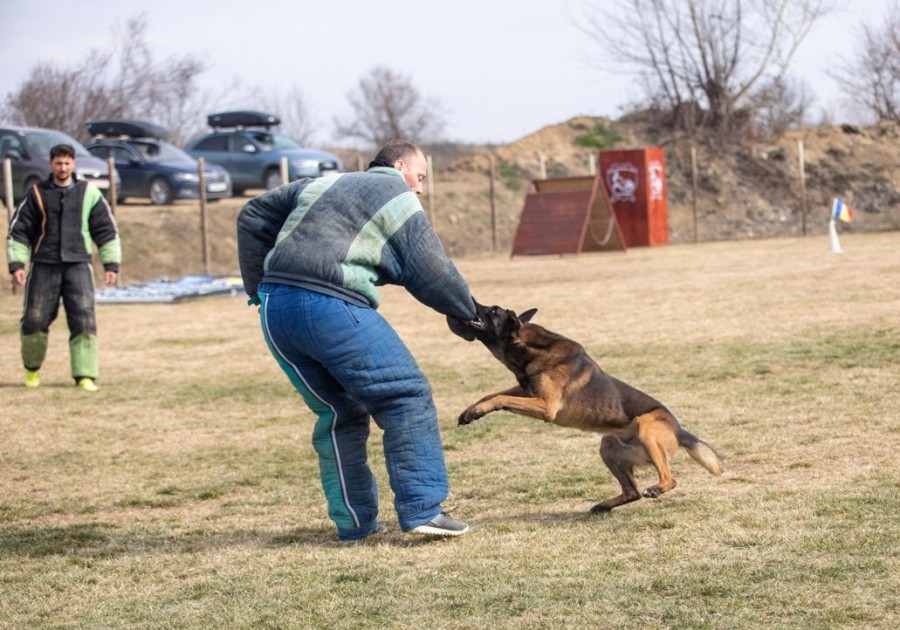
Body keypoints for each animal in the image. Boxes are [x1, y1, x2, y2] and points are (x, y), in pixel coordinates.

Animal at [450, 302, 724, 512]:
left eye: (492, 310)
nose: (471, 302)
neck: (532, 348)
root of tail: (678, 430)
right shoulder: (528, 391)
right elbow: (493, 394)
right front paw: (471, 410)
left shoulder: (545, 405)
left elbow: (500, 399)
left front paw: (477, 410)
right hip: (608, 446)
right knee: (632, 492)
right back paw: (603, 505)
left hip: (647, 431)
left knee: (669, 479)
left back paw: (656, 489)